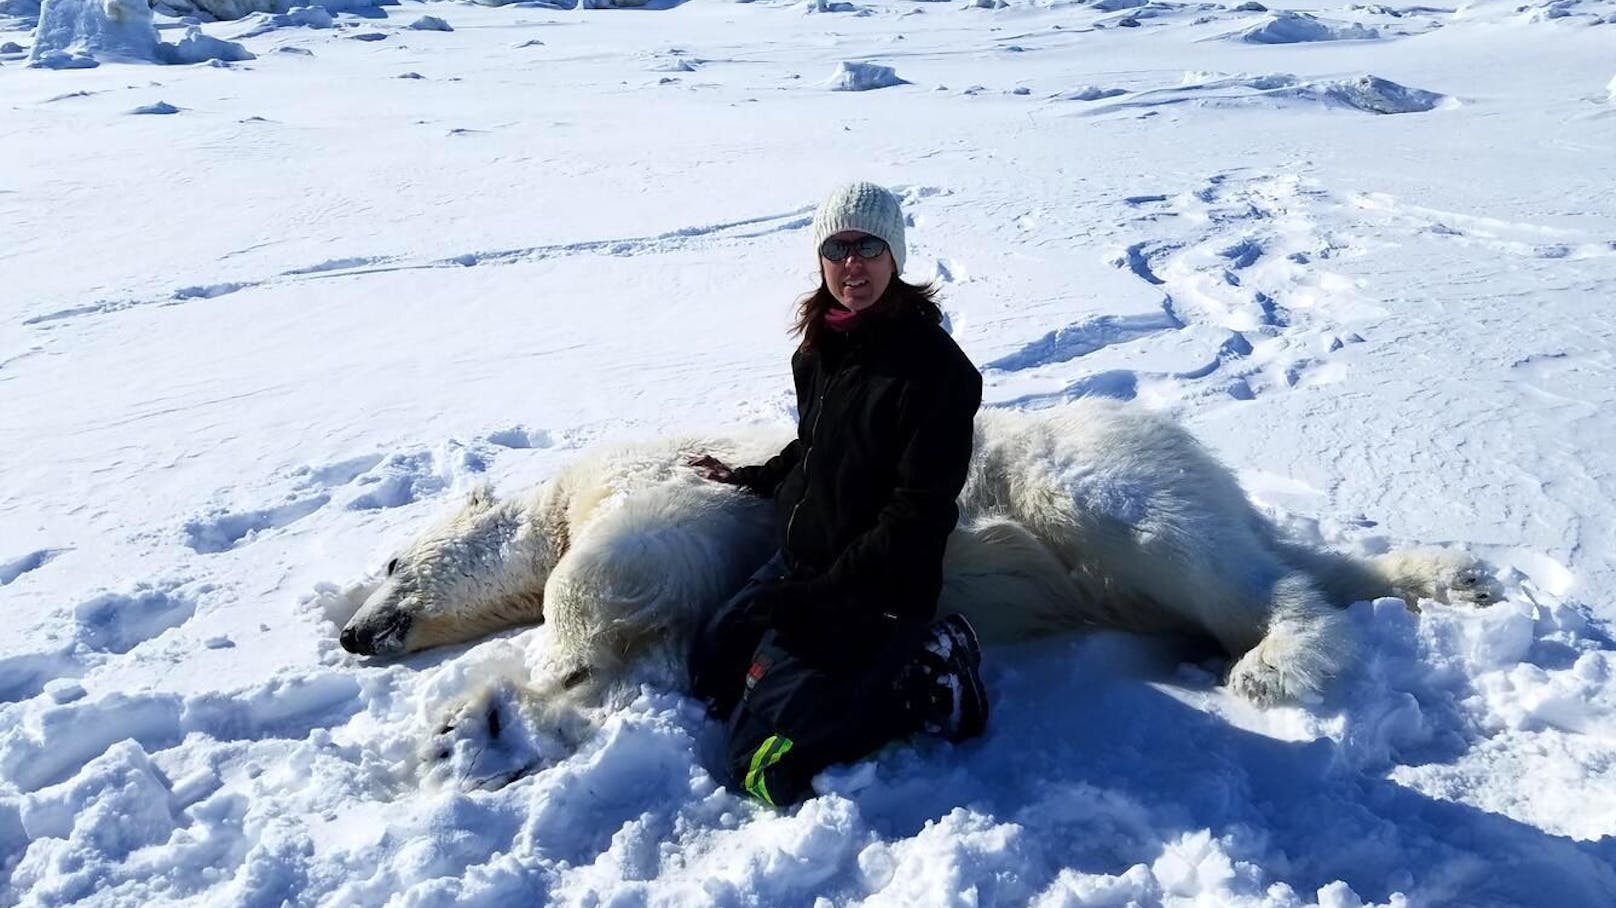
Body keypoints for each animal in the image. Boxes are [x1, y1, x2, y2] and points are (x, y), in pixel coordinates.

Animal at [340, 399, 1499, 781]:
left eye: (390, 563)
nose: (351, 633)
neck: (558, 497)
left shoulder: (678, 485)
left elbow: (617, 565)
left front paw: (527, 672)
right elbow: (668, 651)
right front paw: (475, 726)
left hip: (1084, 472)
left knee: (1189, 548)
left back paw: (1271, 662)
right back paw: (1455, 575)